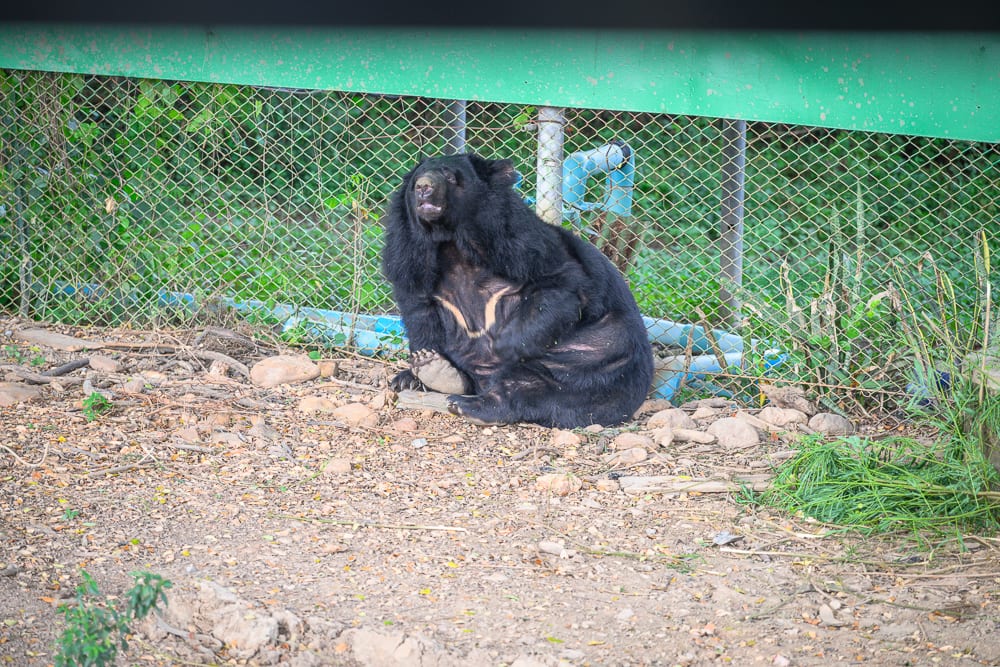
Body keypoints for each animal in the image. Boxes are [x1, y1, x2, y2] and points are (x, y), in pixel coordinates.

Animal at [381, 152, 654, 429]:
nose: (423, 187)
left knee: (535, 383)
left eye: (449, 176)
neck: (452, 245)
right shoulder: (410, 260)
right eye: (415, 180)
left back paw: (469, 403)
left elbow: (558, 288)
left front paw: (499, 346)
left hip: (601, 351)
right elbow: (419, 311)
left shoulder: (520, 248)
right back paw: (432, 373)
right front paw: (421, 361)